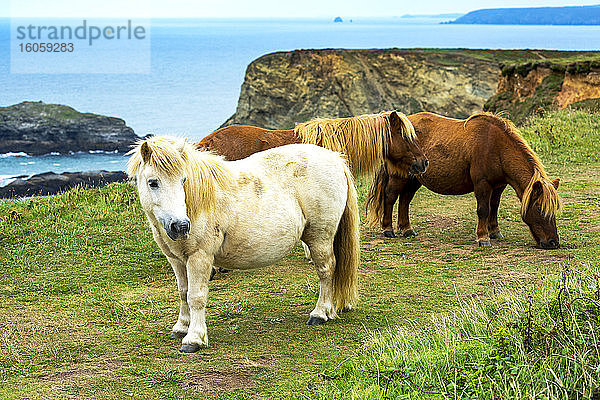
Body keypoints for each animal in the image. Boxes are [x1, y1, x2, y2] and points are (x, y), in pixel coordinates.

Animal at [127, 138, 358, 354]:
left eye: (184, 180)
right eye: (153, 182)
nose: (181, 226)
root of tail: (335, 159)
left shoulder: (199, 257)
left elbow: (196, 297)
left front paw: (194, 339)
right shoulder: (176, 259)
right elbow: (183, 292)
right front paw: (181, 327)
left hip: (320, 237)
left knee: (326, 270)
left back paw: (320, 313)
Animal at [364, 112, 564, 248]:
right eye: (539, 208)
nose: (553, 242)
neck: (496, 146)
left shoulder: (498, 186)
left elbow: (494, 207)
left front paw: (494, 232)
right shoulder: (482, 184)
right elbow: (483, 210)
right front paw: (483, 238)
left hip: (415, 178)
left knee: (405, 200)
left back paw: (407, 229)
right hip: (399, 176)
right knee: (390, 197)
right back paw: (388, 229)